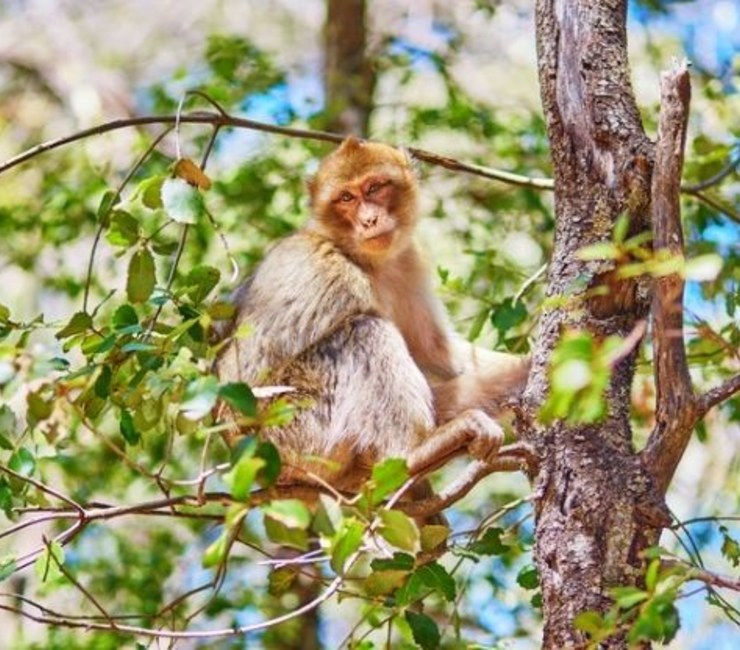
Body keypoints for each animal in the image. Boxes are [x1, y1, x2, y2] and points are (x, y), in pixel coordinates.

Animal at [216, 136, 529, 492]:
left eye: (375, 187)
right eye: (346, 198)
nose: (369, 220)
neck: (364, 260)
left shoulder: (408, 262)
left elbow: (440, 355)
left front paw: (533, 363)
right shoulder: (332, 274)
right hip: (294, 432)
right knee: (364, 331)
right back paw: (413, 453)